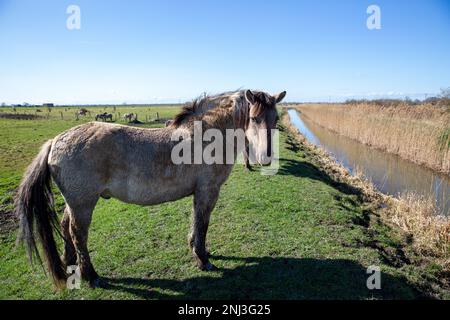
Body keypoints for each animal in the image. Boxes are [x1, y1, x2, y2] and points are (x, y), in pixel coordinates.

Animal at [16, 89, 288, 288]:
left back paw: (70, 265)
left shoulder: (199, 193)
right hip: (84, 204)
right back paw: (91, 276)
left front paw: (197, 249)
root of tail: (55, 141)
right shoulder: (208, 191)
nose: (266, 158)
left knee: (65, 227)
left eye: (275, 118)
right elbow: (203, 223)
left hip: (74, 203)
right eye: (253, 118)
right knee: (78, 234)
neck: (206, 137)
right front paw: (203, 259)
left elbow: (196, 222)